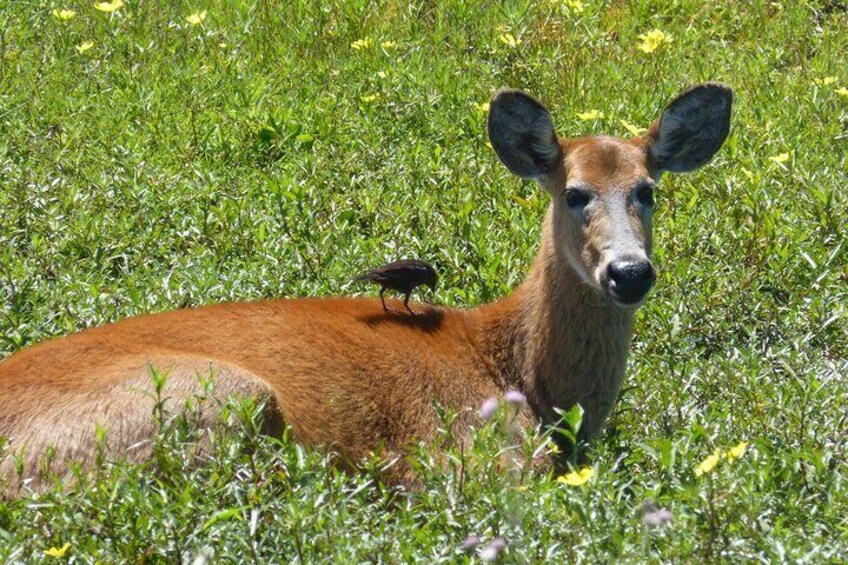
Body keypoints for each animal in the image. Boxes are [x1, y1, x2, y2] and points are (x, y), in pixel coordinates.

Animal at [0, 83, 728, 494]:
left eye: (647, 190)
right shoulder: (483, 456)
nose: (629, 272)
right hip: (215, 397)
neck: (520, 369)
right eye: (575, 193)